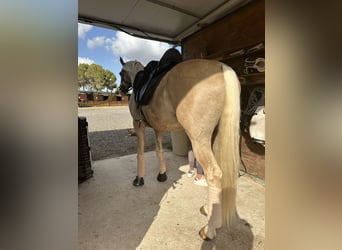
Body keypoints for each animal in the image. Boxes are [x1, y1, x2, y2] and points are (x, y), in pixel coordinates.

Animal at [119, 55, 240, 240]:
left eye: (121, 73)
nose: (120, 89)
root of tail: (221, 67)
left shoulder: (138, 126)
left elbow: (140, 153)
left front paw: (139, 179)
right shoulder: (158, 128)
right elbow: (159, 150)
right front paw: (162, 174)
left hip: (199, 141)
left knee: (214, 174)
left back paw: (209, 230)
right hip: (217, 137)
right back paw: (209, 210)